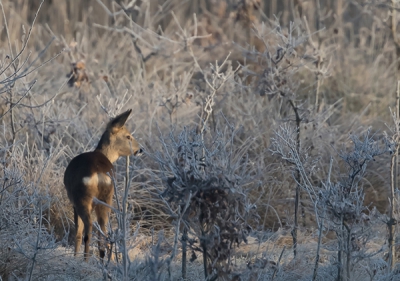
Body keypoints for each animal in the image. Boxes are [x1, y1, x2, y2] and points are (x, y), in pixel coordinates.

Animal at [64, 109, 142, 260]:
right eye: (128, 136)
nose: (140, 150)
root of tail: (98, 172)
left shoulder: (73, 203)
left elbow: (77, 232)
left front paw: (74, 258)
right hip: (106, 198)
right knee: (103, 230)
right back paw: (105, 259)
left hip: (83, 198)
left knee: (88, 229)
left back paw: (85, 260)